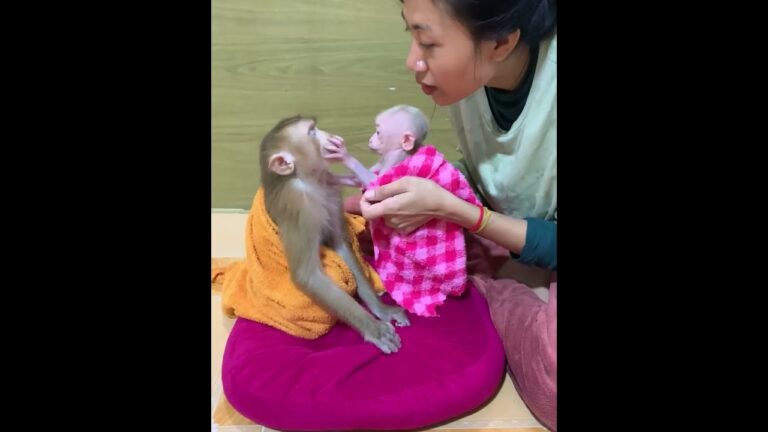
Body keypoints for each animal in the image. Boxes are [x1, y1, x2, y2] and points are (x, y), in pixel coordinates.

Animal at [260, 115, 410, 354]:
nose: (331, 136)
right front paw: (374, 328)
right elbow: (308, 275)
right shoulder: (300, 210)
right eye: (312, 132)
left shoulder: (329, 188)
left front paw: (380, 309)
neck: (308, 180)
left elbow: (340, 245)